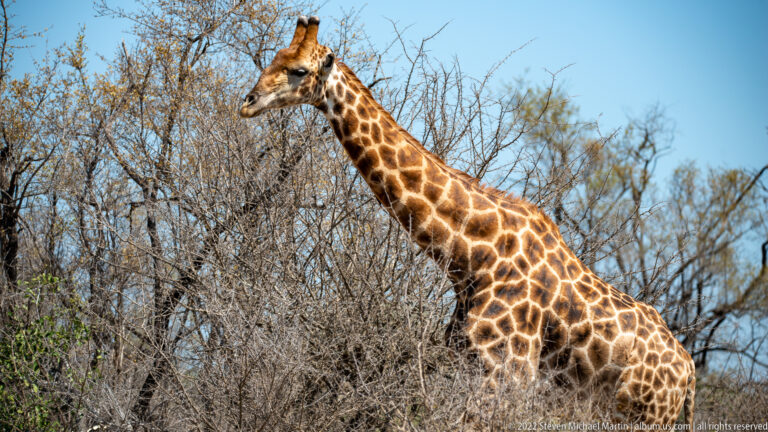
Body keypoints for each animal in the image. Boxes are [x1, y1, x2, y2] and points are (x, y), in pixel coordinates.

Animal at [239, 15, 696, 426]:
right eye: (274, 58)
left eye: (299, 70)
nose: (248, 102)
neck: (469, 257)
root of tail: (689, 373)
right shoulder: (467, 364)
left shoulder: (506, 375)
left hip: (645, 417)